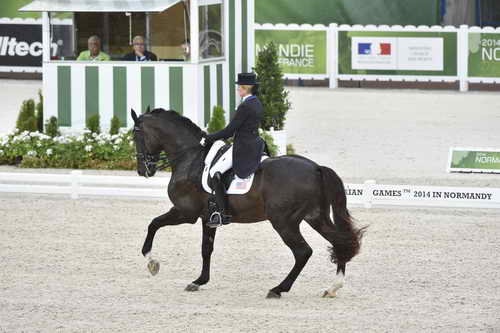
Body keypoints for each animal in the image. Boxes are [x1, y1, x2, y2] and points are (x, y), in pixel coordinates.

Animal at [131, 107, 366, 296]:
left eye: (136, 135)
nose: (143, 170)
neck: (190, 158)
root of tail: (316, 168)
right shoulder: (208, 217)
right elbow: (206, 248)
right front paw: (199, 281)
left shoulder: (185, 212)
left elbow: (153, 224)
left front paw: (152, 262)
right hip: (315, 217)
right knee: (339, 243)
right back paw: (333, 288)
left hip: (284, 222)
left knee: (303, 252)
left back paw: (278, 289)